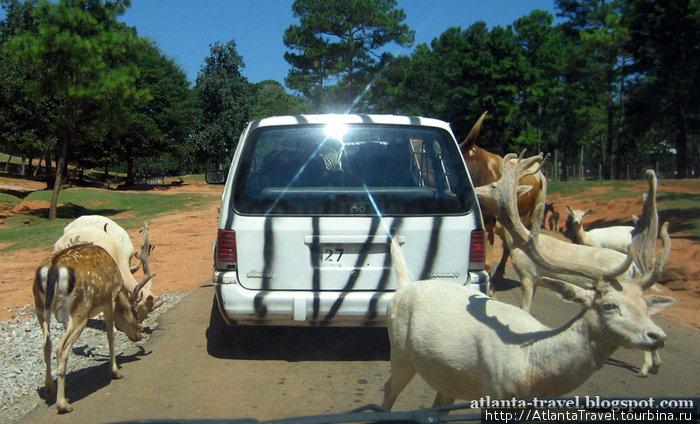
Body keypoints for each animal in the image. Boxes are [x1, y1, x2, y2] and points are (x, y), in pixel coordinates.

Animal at [33, 224, 156, 412]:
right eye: (133, 314)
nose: (139, 336)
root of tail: (52, 269)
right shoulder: (109, 299)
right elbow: (110, 334)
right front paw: (115, 371)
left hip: (40, 308)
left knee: (46, 344)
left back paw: (48, 389)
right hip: (80, 310)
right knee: (61, 348)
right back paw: (63, 404)